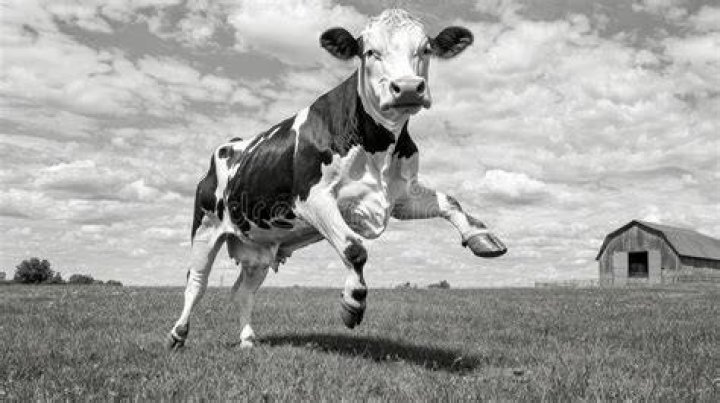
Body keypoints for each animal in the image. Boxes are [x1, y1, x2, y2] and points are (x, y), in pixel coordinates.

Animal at [167, 9, 506, 350]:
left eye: (426, 49)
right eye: (369, 51)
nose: (409, 88)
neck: (378, 147)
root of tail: (229, 145)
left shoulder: (400, 196)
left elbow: (450, 202)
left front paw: (482, 237)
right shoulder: (313, 199)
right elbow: (355, 249)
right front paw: (353, 303)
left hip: (258, 246)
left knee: (243, 291)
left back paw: (248, 339)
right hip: (206, 227)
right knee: (196, 283)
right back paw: (178, 334)